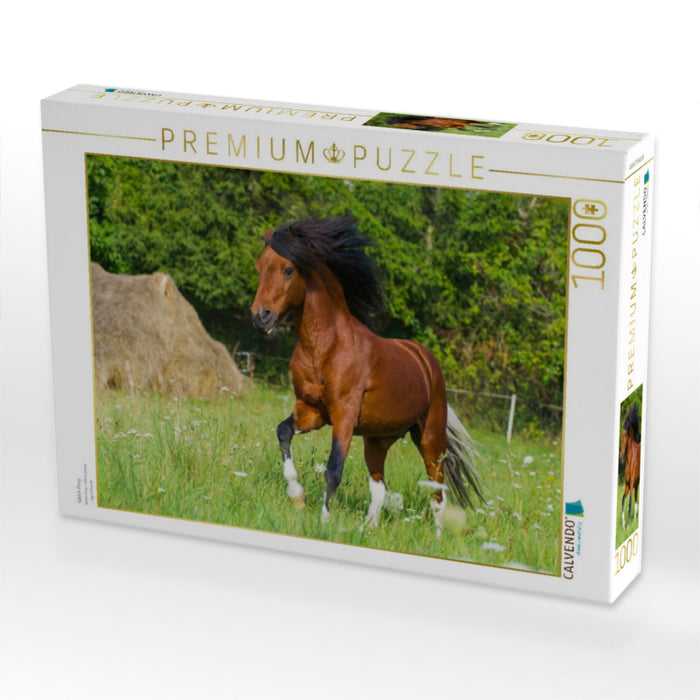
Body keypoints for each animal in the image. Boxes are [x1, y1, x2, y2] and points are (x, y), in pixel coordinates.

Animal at [250, 215, 482, 529]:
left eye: (288, 269)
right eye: (259, 267)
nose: (260, 316)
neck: (325, 347)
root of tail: (426, 361)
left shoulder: (344, 415)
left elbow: (334, 469)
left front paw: (323, 522)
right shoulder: (311, 410)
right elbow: (283, 431)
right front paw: (297, 497)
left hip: (430, 438)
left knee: (437, 493)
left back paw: (435, 534)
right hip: (377, 440)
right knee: (380, 488)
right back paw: (367, 529)